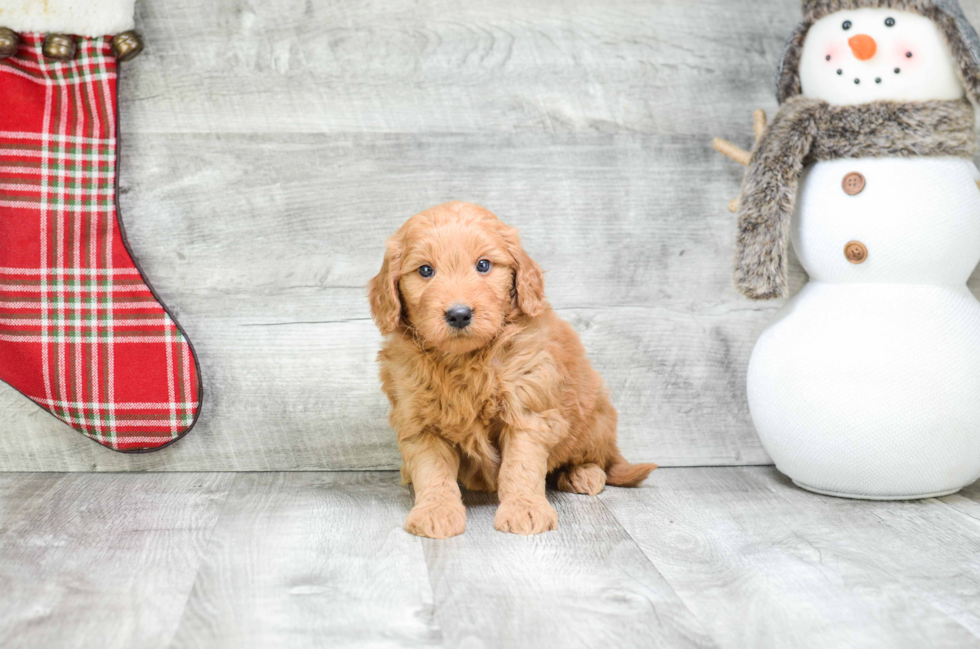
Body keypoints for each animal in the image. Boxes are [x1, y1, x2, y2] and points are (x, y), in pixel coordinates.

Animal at [372, 202, 656, 536]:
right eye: (425, 270)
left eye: (483, 265)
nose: (459, 314)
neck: (464, 360)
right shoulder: (419, 421)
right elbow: (433, 472)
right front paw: (436, 511)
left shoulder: (527, 410)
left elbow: (519, 467)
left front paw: (524, 509)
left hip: (593, 421)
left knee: (600, 461)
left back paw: (583, 473)